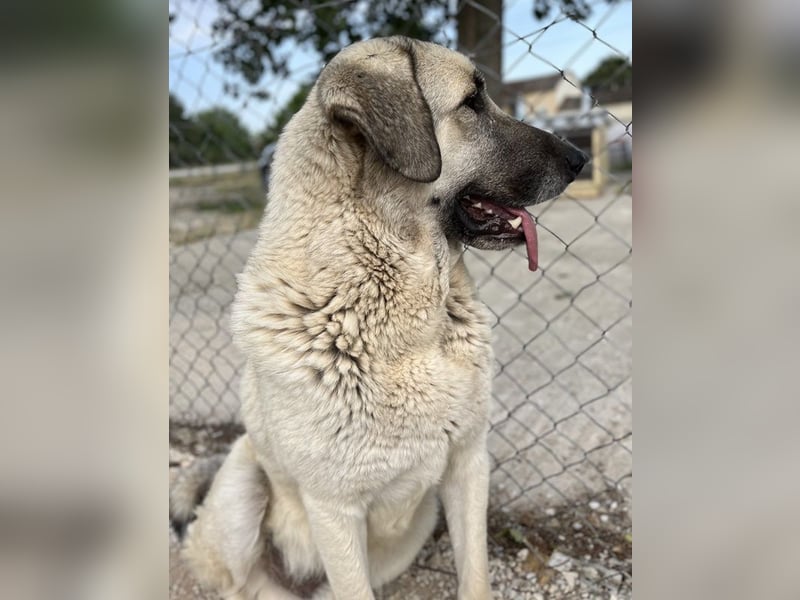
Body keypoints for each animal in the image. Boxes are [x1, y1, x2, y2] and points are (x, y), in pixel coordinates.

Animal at [170, 36, 587, 600]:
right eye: (471, 104)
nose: (582, 157)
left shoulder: (467, 467)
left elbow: (475, 573)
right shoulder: (335, 512)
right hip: (242, 493)